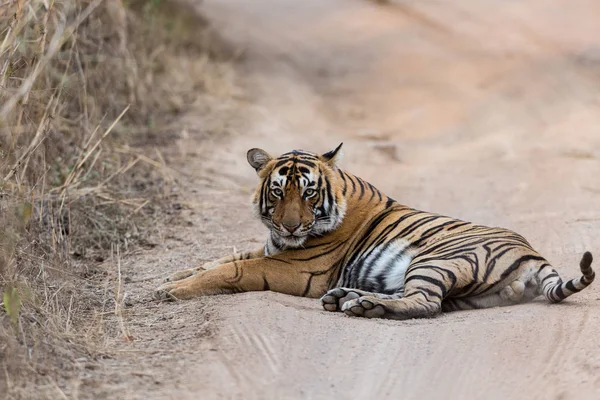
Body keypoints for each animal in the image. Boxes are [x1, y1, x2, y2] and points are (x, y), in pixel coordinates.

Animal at [155, 144, 596, 318]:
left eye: (309, 192)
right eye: (278, 191)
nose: (291, 225)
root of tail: (534, 255)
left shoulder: (296, 269)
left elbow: (234, 269)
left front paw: (171, 291)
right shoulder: (273, 247)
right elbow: (225, 256)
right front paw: (172, 276)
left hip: (437, 259)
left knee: (426, 303)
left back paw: (365, 306)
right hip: (469, 291)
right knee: (428, 299)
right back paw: (349, 298)